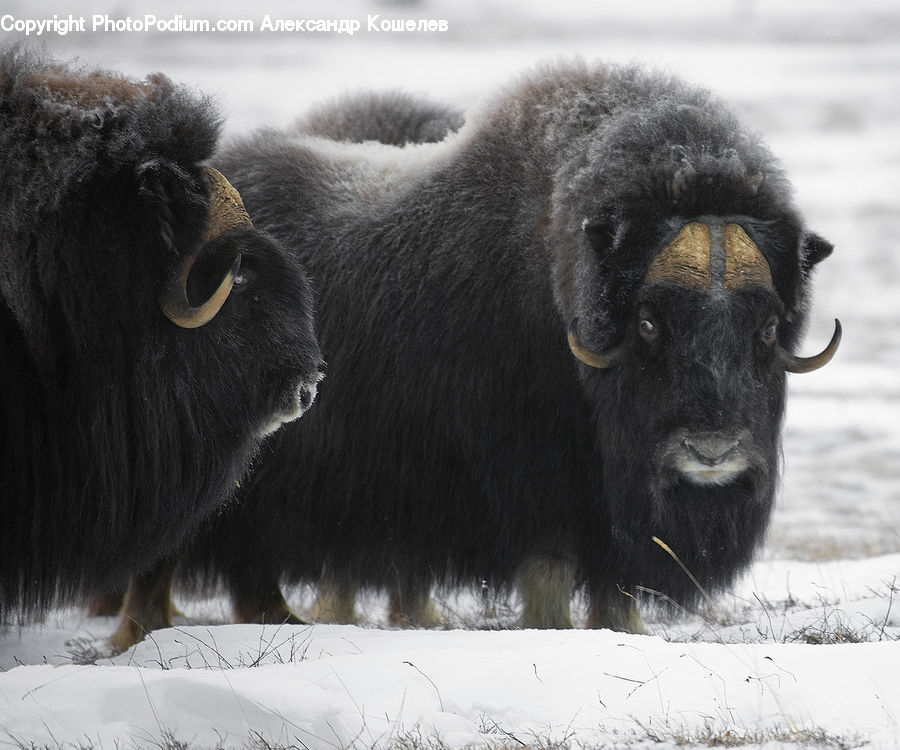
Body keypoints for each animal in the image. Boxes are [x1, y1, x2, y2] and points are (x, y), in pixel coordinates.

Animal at [127, 61, 840, 635]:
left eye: (768, 326)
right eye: (648, 321)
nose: (712, 452)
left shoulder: (606, 509)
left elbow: (613, 586)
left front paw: (624, 633)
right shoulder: (537, 480)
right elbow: (549, 567)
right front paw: (551, 632)